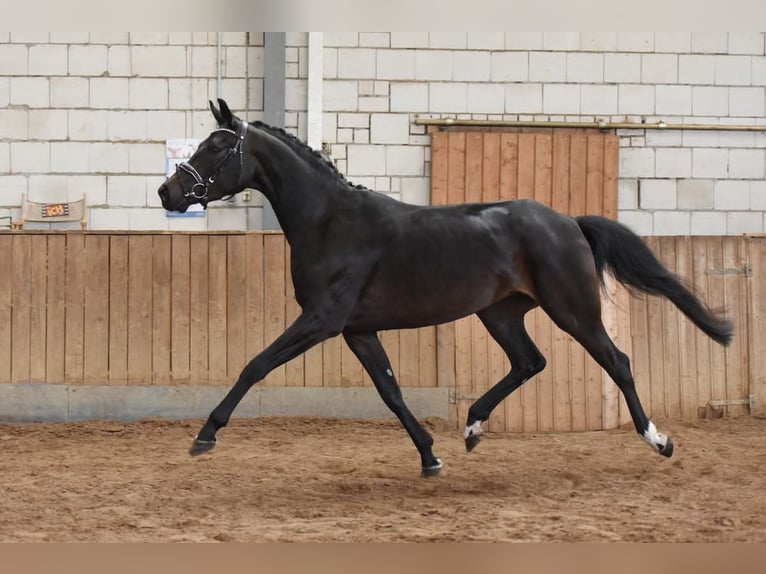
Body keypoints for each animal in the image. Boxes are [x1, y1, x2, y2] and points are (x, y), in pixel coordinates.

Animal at [158, 99, 733, 477]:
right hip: (501, 313)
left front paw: (205, 435)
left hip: (573, 310)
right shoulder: (357, 330)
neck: (332, 222)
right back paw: (473, 428)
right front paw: (430, 456)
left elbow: (255, 364)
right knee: (530, 362)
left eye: (216, 147)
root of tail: (568, 220)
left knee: (617, 362)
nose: (168, 191)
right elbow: (390, 392)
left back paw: (659, 441)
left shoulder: (321, 321)